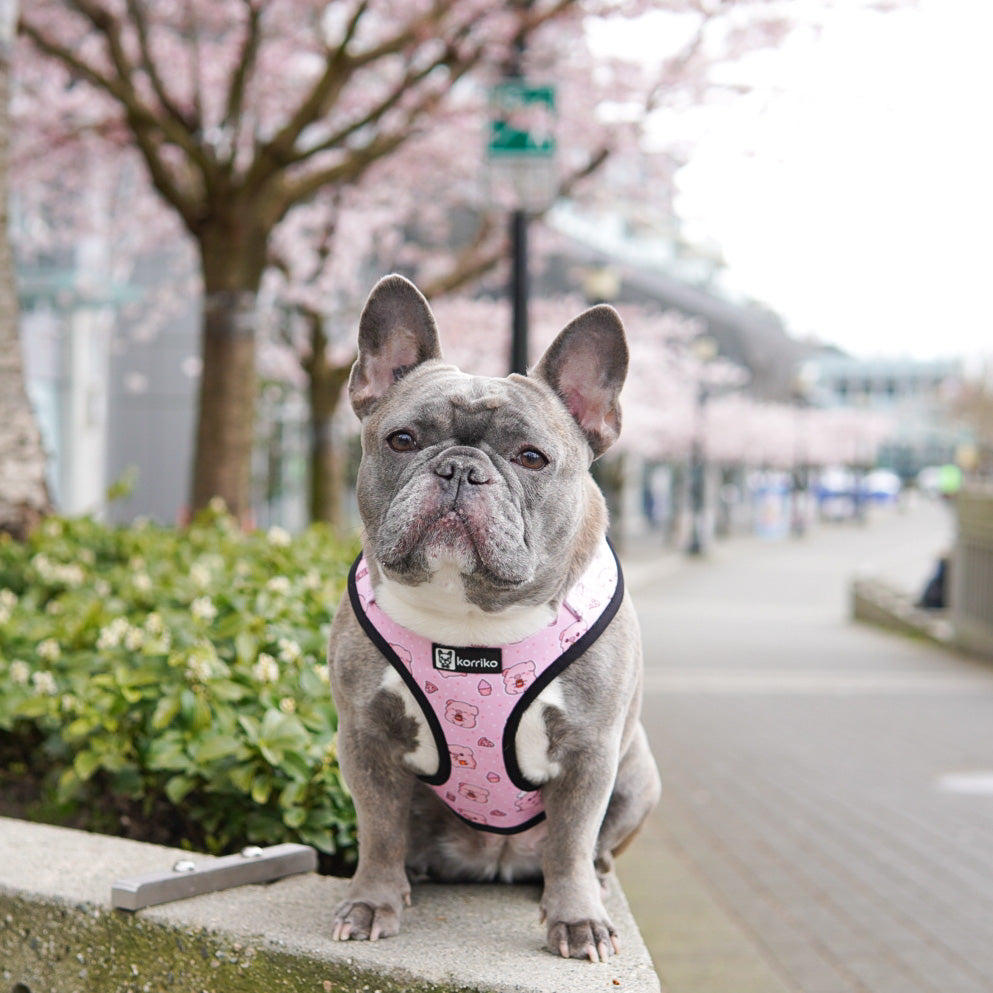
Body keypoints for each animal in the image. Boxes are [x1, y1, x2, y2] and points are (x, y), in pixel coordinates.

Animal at [330, 274, 664, 960]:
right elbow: (378, 829)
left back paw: (594, 882)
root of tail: (495, 861)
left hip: (639, 772)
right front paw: (372, 900)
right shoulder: (365, 737)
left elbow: (572, 838)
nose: (460, 467)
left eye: (532, 458)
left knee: (586, 848)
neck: (470, 621)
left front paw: (577, 919)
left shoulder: (590, 749)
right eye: (402, 440)